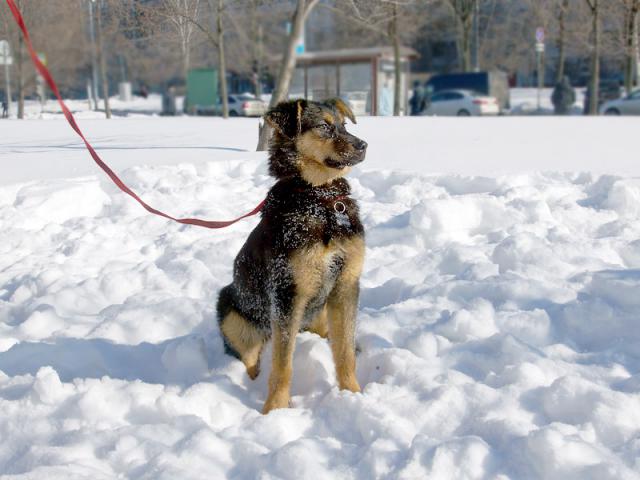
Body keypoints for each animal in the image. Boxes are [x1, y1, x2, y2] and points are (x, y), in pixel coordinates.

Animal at [216, 96, 364, 412]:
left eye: (345, 125)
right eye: (324, 126)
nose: (363, 145)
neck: (319, 199)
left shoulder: (346, 285)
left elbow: (345, 352)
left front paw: (353, 394)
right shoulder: (286, 292)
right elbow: (283, 365)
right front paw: (275, 409)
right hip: (233, 315)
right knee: (252, 359)